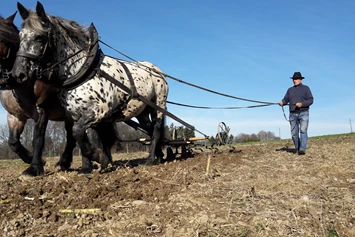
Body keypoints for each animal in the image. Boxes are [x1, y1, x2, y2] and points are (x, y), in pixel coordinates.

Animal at [12, 0, 170, 173]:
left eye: (39, 37)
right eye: (20, 36)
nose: (18, 74)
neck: (82, 69)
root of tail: (156, 70)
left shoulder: (99, 111)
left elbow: (78, 133)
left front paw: (97, 156)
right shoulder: (77, 115)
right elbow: (85, 136)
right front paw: (93, 165)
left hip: (158, 104)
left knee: (156, 129)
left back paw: (151, 159)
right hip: (141, 111)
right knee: (149, 128)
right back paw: (159, 155)